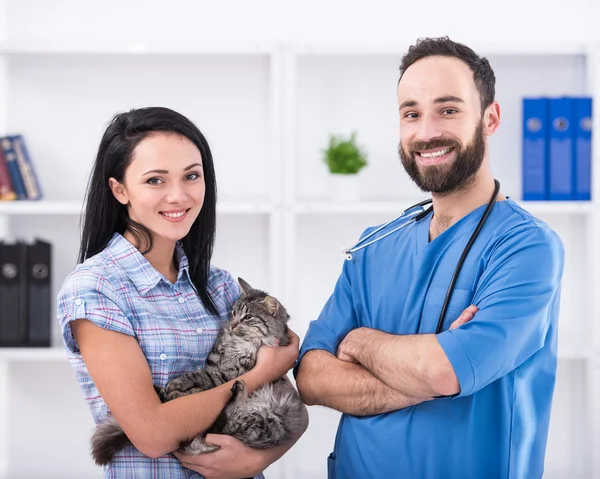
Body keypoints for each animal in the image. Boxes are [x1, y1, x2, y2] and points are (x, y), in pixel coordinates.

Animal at [89, 280, 304, 466]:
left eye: (248, 317)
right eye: (234, 313)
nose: (232, 325)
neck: (237, 343)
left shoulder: (229, 374)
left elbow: (201, 379)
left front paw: (178, 386)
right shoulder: (214, 363)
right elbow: (199, 376)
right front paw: (179, 388)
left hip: (263, 416)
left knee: (221, 428)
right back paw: (163, 392)